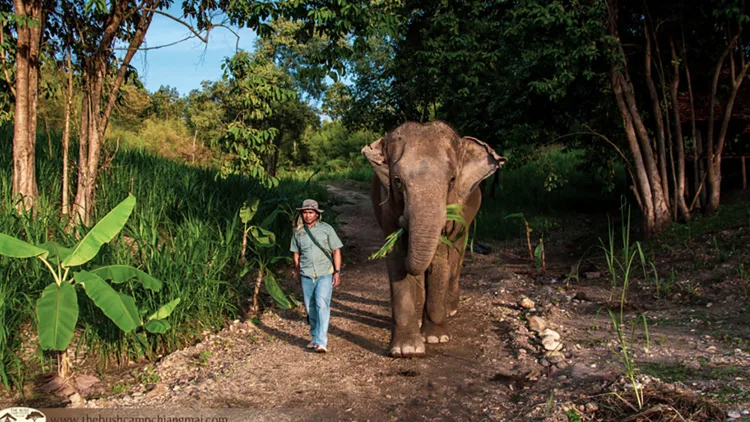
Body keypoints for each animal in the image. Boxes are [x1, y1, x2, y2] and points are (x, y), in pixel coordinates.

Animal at [362, 121, 506, 357]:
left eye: (452, 179)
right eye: (397, 181)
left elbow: (440, 259)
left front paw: (436, 338)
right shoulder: (388, 209)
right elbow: (397, 261)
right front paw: (406, 350)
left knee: (457, 254)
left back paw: (451, 309)